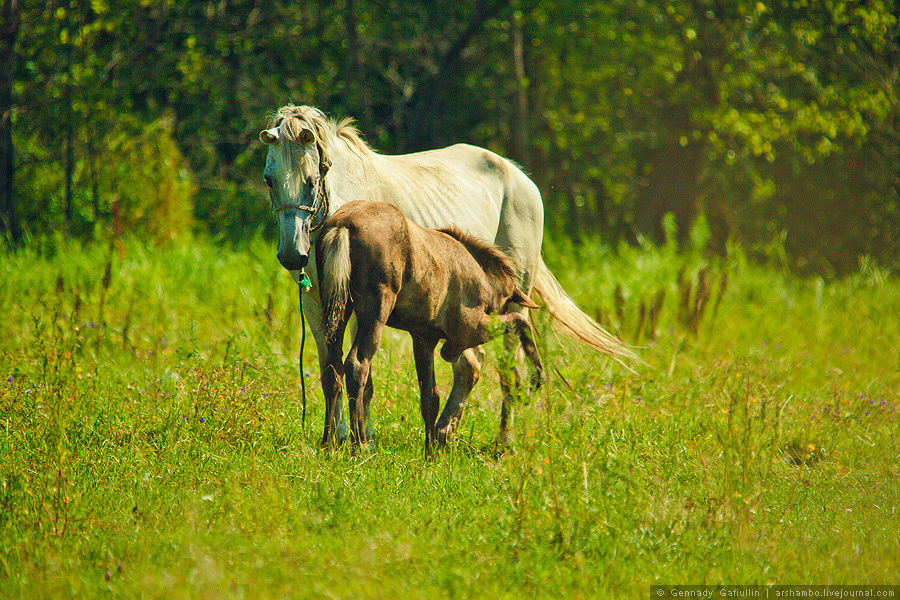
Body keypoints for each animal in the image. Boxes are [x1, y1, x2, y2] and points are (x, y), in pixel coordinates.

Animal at [256, 105, 628, 448]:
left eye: (310, 180)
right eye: (269, 179)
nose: (292, 255)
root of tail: (519, 176)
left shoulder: (364, 311)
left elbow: (362, 374)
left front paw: (364, 441)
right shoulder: (318, 305)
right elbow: (330, 373)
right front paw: (334, 442)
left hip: (514, 294)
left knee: (508, 366)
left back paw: (502, 442)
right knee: (471, 364)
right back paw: (446, 431)